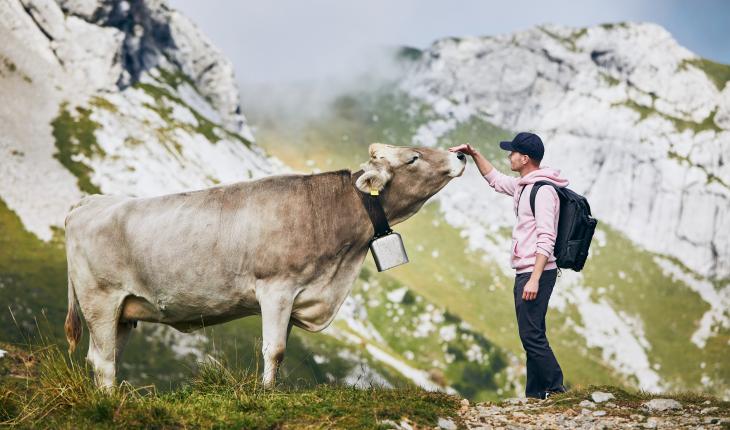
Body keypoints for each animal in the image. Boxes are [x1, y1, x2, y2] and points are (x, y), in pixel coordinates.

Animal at [64, 143, 467, 388]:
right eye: (413, 158)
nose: (460, 156)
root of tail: (89, 202)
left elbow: (281, 351)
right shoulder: (277, 288)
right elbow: (274, 350)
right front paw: (267, 394)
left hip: (124, 311)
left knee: (103, 358)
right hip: (100, 300)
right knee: (103, 361)